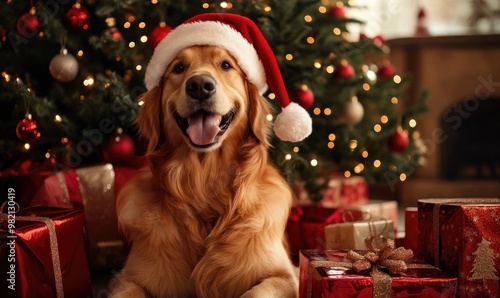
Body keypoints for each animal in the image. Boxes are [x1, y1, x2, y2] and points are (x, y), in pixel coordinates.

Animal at [108, 44, 298, 298]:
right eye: (178, 68)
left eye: (226, 65)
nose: (199, 85)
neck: (204, 183)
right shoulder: (127, 278)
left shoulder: (285, 276)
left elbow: (256, 292)